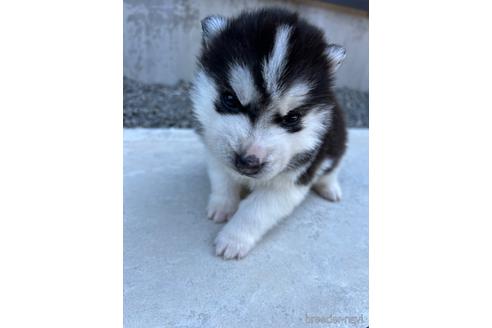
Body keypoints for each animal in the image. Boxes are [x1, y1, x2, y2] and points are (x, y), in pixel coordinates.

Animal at [190, 7, 348, 258]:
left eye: (292, 118)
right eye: (230, 99)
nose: (248, 162)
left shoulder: (292, 182)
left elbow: (256, 211)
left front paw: (233, 239)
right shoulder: (214, 148)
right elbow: (222, 180)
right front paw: (222, 205)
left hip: (337, 142)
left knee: (331, 169)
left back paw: (329, 188)